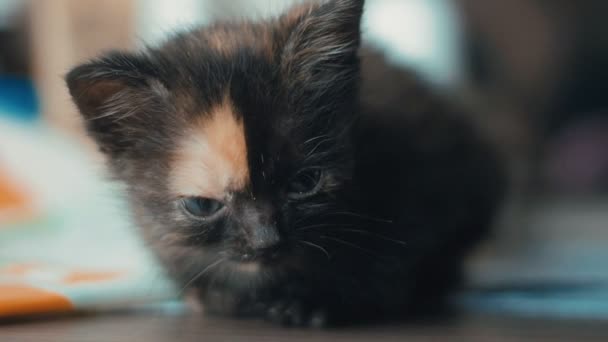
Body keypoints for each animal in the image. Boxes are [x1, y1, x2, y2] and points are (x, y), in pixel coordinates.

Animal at [65, 0, 504, 328]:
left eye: (305, 182)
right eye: (202, 205)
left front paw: (316, 301)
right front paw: (219, 296)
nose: (266, 240)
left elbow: (391, 269)